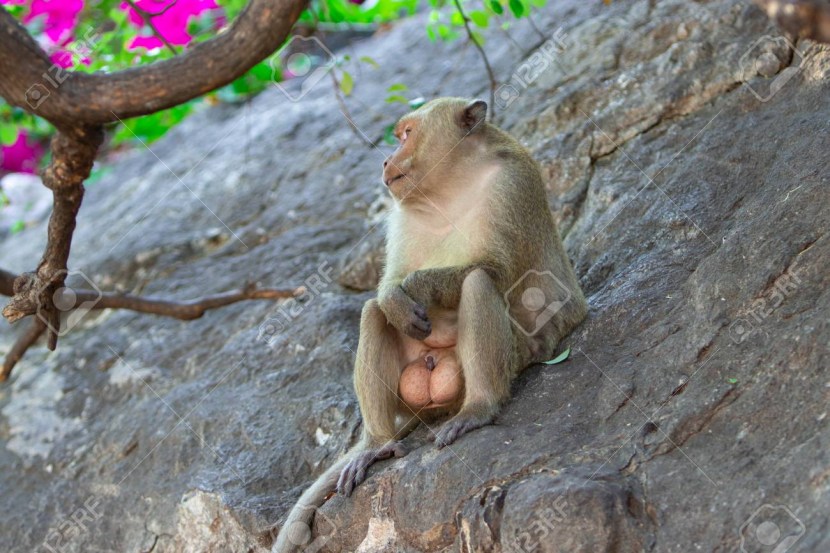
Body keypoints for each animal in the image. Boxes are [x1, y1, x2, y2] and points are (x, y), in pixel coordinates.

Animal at [272, 97, 587, 553]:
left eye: (406, 134)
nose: (386, 159)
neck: (450, 188)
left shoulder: (513, 183)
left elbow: (498, 271)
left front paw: (418, 286)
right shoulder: (402, 212)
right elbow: (389, 286)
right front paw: (394, 297)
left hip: (519, 353)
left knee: (477, 283)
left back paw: (479, 408)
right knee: (373, 313)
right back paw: (377, 445)